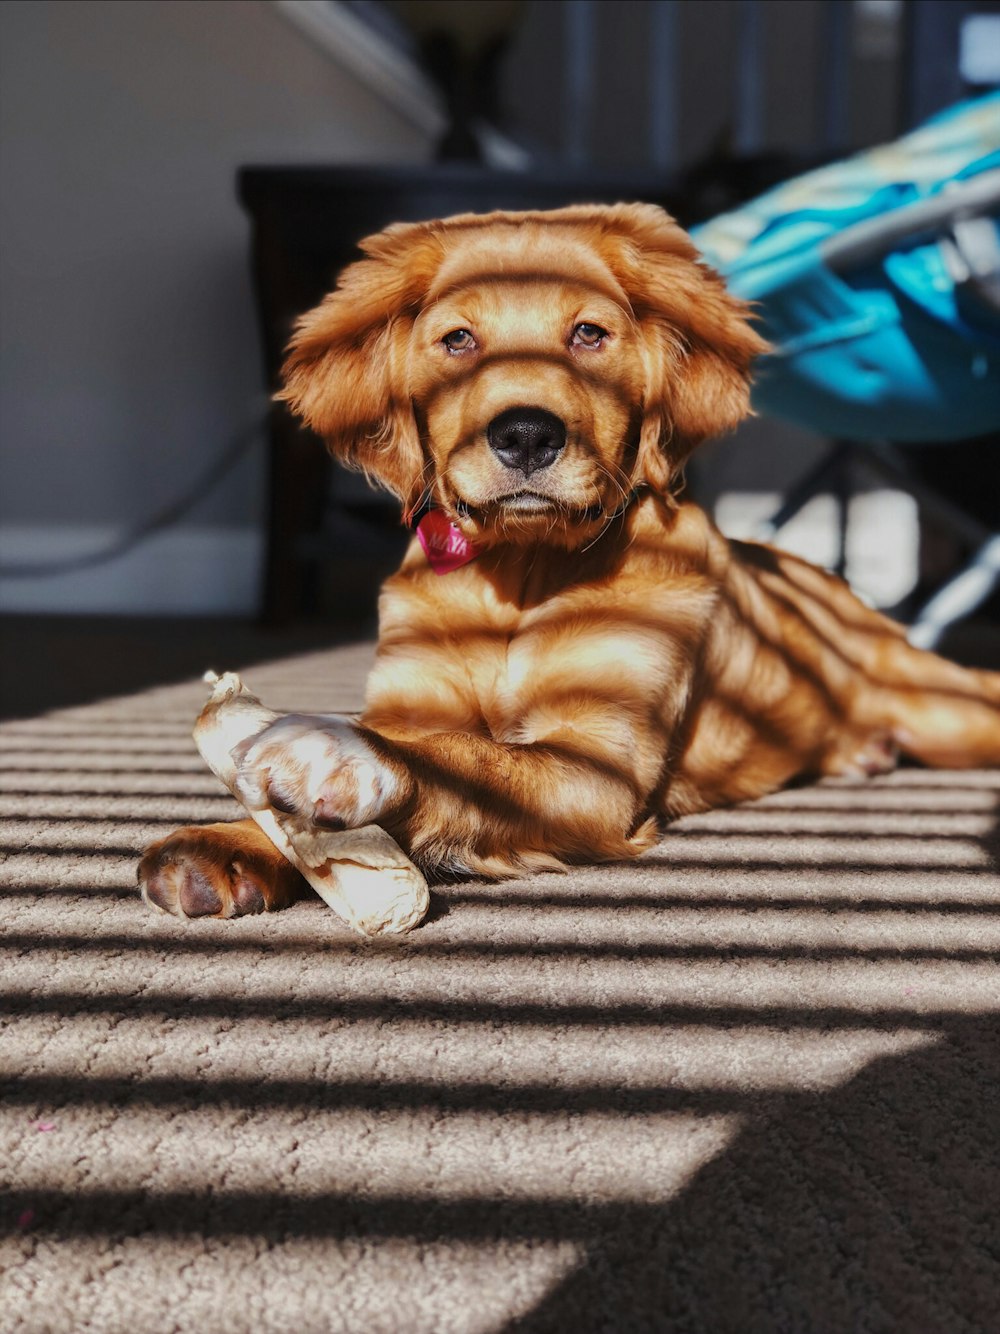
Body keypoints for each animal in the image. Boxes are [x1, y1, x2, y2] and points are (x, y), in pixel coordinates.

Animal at [141, 205, 1000, 917]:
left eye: (590, 334)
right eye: (458, 340)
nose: (526, 434)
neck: (522, 573)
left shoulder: (598, 765)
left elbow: (469, 759)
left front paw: (336, 752)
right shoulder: (414, 698)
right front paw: (229, 842)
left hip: (946, 708)